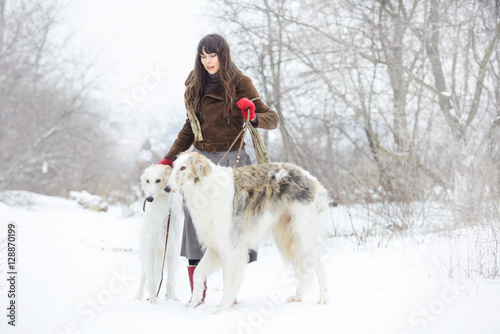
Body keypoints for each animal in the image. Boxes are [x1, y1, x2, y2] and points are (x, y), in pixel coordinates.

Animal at [135, 163, 184, 304]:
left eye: (158, 180)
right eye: (147, 180)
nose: (149, 198)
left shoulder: (170, 247)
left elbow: (170, 280)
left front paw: (171, 299)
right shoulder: (150, 246)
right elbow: (151, 280)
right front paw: (152, 301)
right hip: (144, 253)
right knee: (144, 275)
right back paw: (139, 296)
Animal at [165, 152, 332, 314]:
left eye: (183, 167)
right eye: (174, 166)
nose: (166, 188)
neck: (207, 187)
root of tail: (313, 180)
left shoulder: (230, 247)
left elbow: (228, 283)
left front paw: (222, 310)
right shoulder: (214, 247)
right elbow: (198, 273)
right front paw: (194, 303)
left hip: (304, 236)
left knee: (320, 267)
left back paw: (323, 298)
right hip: (287, 237)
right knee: (301, 267)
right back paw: (298, 296)